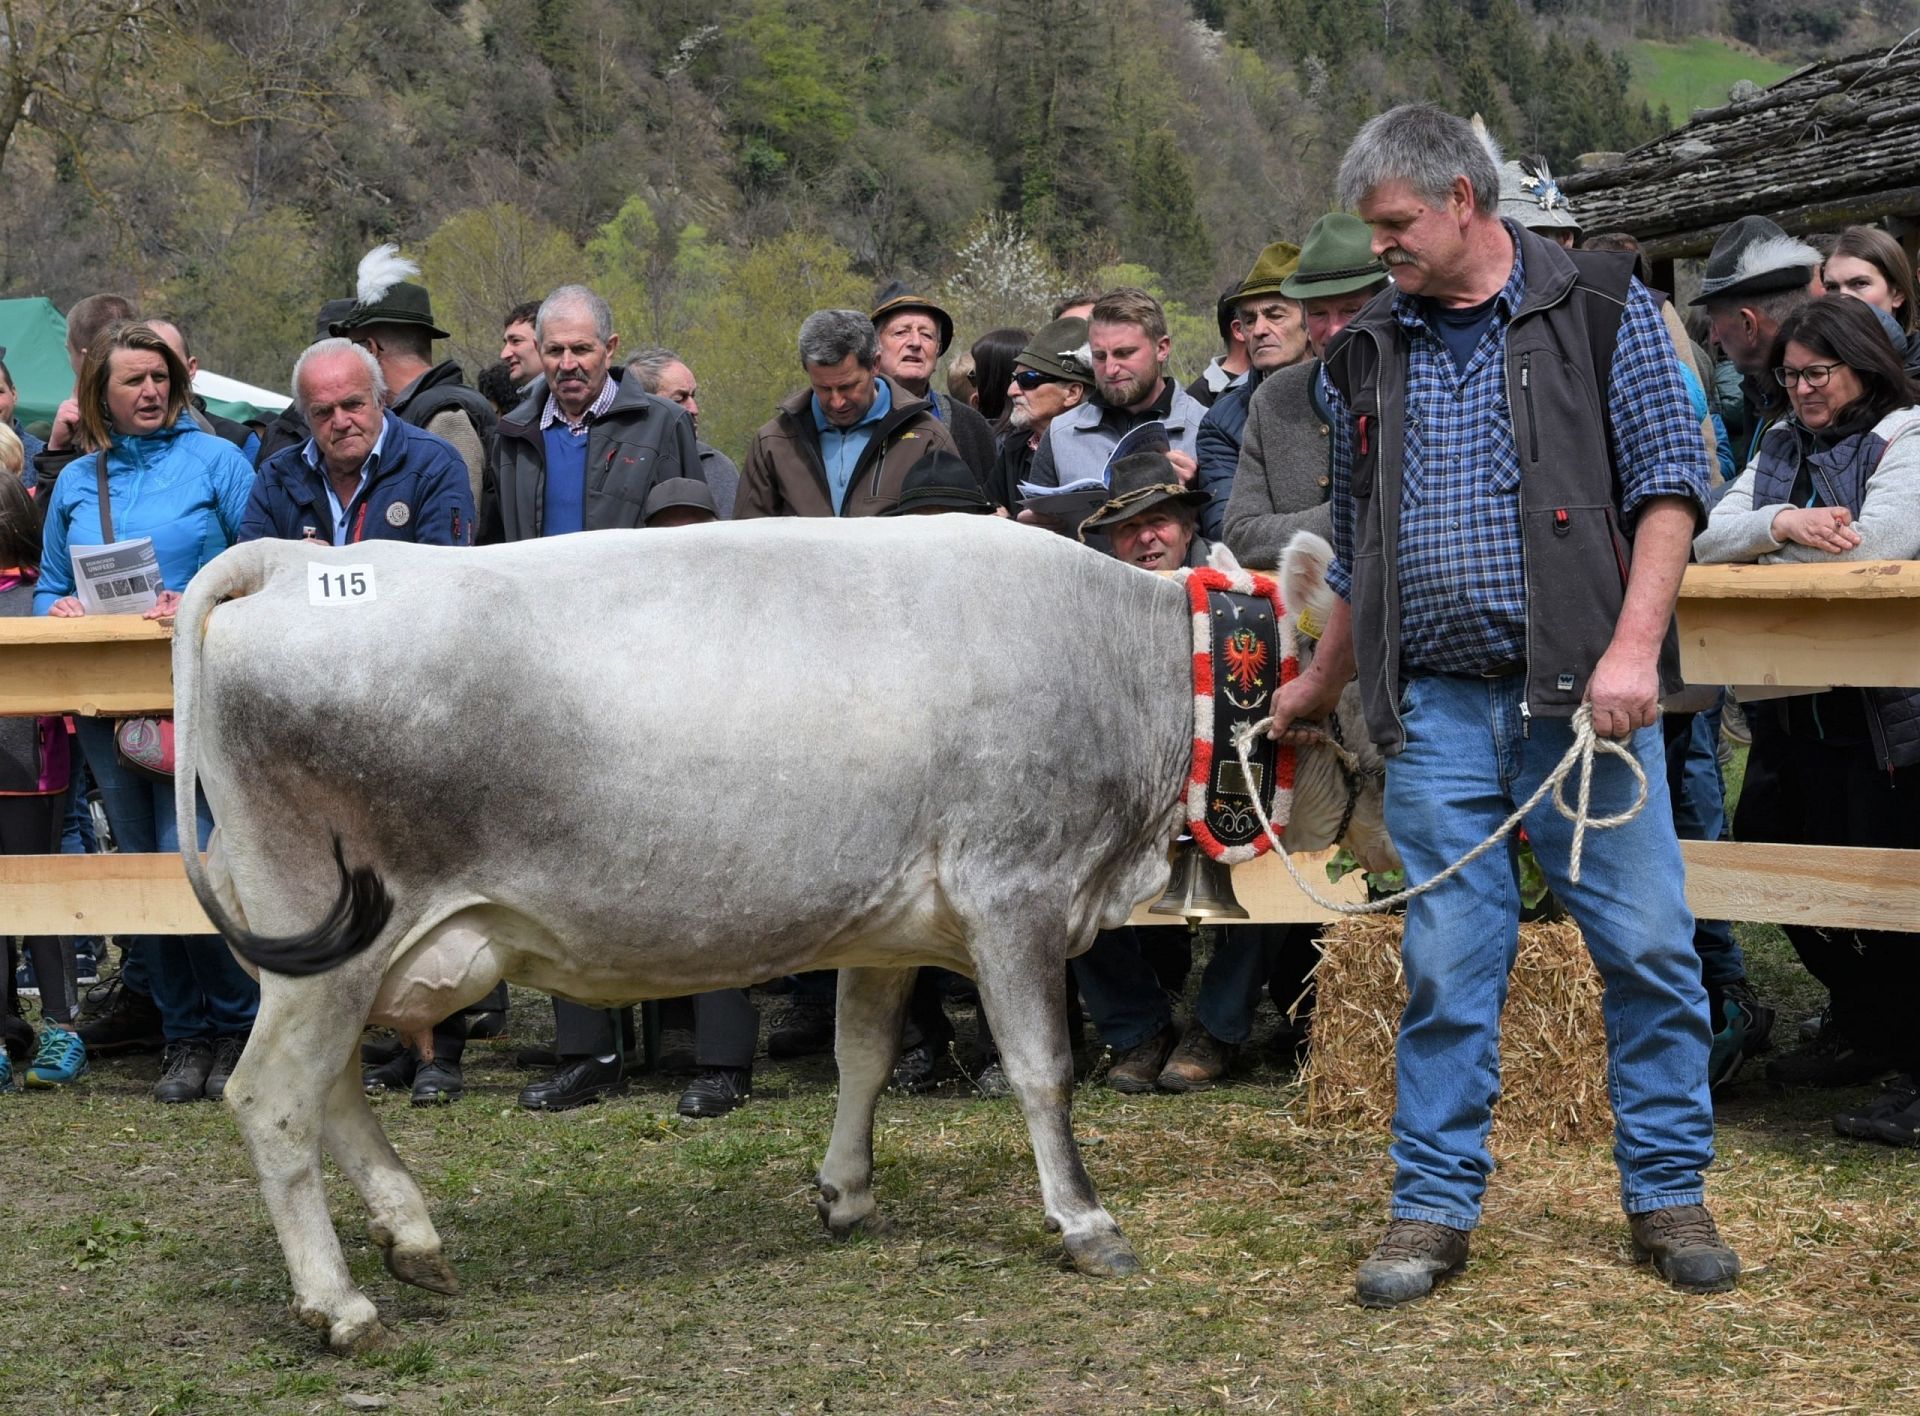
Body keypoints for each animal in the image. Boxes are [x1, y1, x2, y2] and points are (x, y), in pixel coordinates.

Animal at [169, 516, 1388, 1353]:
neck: (1128, 667)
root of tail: (283, 562)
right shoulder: (1015, 893)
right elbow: (1045, 1069)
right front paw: (1085, 1222)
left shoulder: (891, 924)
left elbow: (864, 1053)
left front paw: (844, 1191)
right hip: (331, 942)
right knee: (274, 1098)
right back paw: (339, 1302)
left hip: (324, 951)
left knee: (333, 1091)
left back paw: (411, 1239)